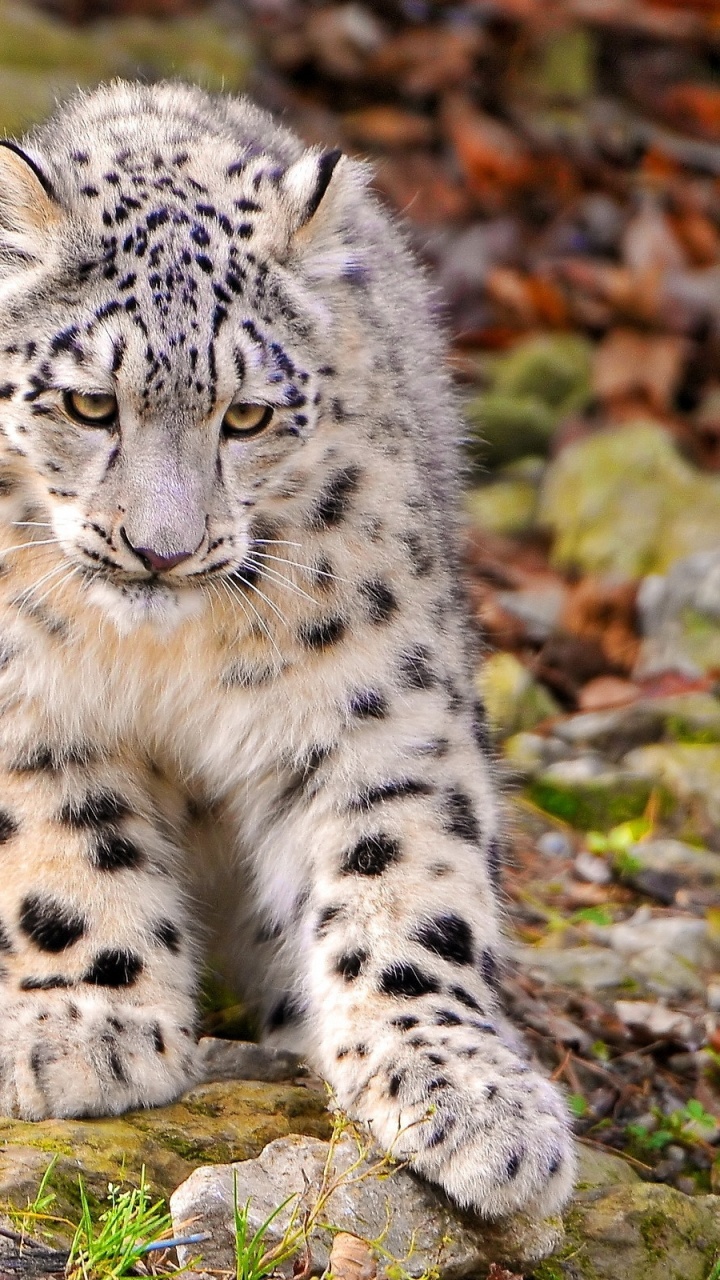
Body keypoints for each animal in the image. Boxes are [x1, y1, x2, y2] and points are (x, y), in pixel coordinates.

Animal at [0, 81, 574, 1220]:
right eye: (89, 401)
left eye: (248, 415)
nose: (163, 549)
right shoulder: (29, 699)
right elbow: (66, 839)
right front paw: (89, 1025)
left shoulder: (373, 699)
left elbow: (402, 868)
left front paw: (468, 1095)